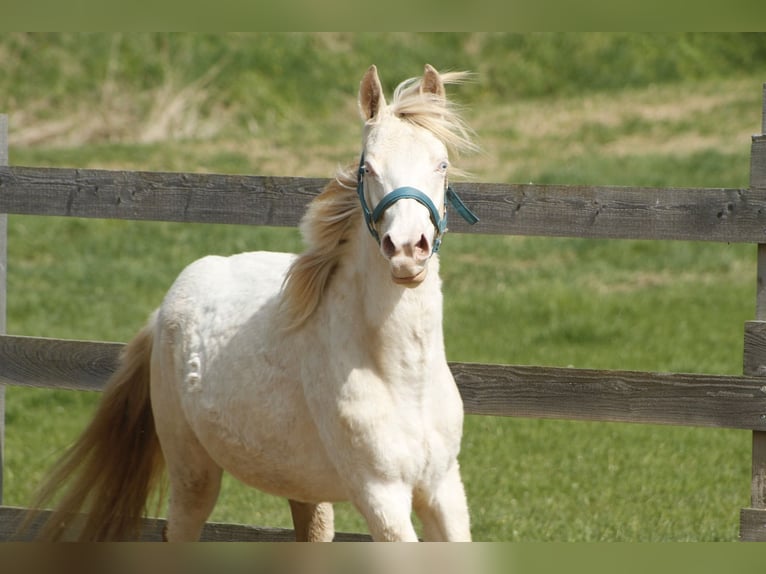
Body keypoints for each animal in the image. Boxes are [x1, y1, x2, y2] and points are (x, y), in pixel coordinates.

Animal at [25, 64, 480, 544]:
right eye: (368, 167)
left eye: (442, 163)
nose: (407, 250)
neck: (401, 377)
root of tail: (164, 308)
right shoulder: (379, 494)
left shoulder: (443, 487)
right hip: (193, 473)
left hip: (303, 486)